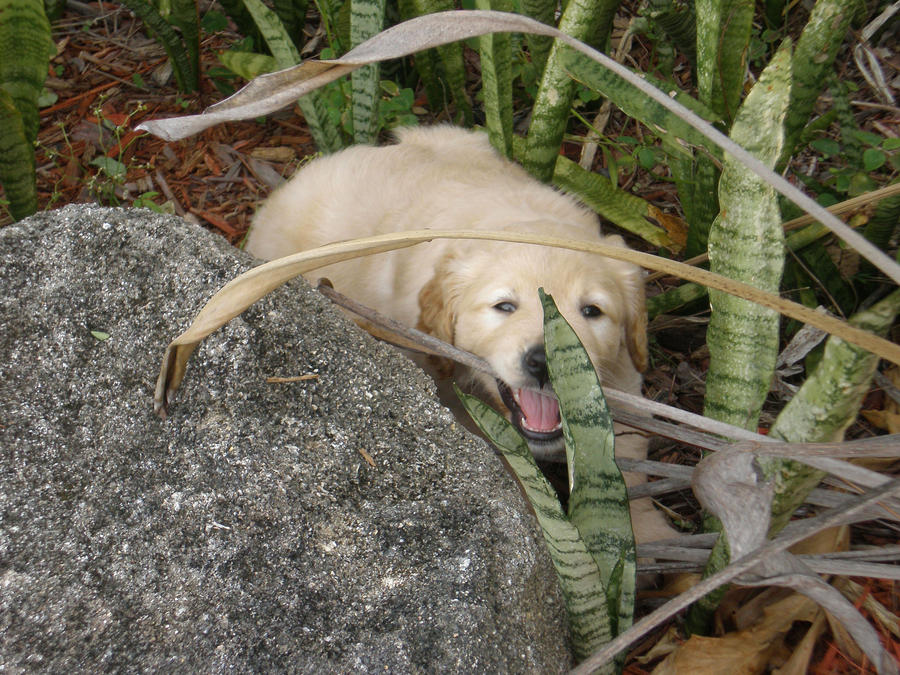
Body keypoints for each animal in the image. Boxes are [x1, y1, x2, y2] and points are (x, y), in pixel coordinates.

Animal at [246, 124, 676, 544]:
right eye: (504, 306)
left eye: (592, 311)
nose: (544, 363)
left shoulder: (620, 373)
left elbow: (626, 448)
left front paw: (646, 532)